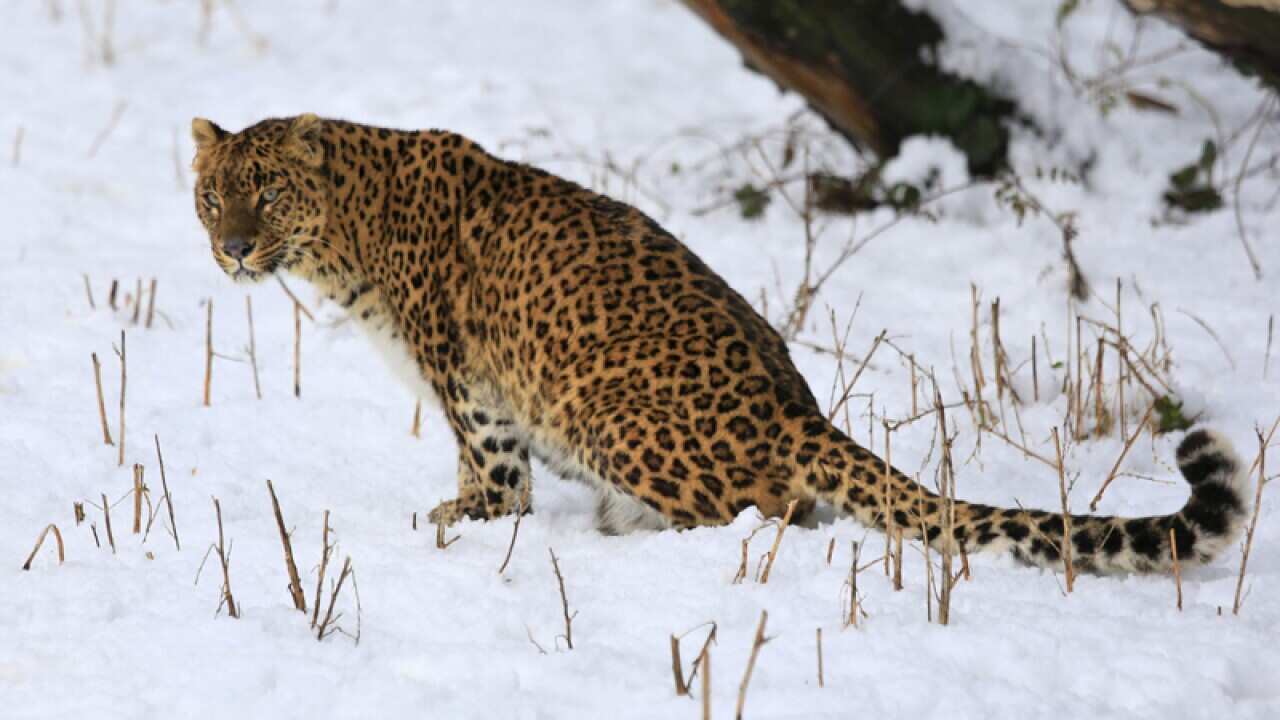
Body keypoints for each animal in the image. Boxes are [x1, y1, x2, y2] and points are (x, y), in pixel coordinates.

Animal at [189, 113, 1252, 575]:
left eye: (268, 191)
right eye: (212, 194)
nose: (234, 247)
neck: (347, 234)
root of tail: (800, 411)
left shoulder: (473, 390)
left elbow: (494, 479)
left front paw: (462, 524)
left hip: (607, 410)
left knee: (752, 514)